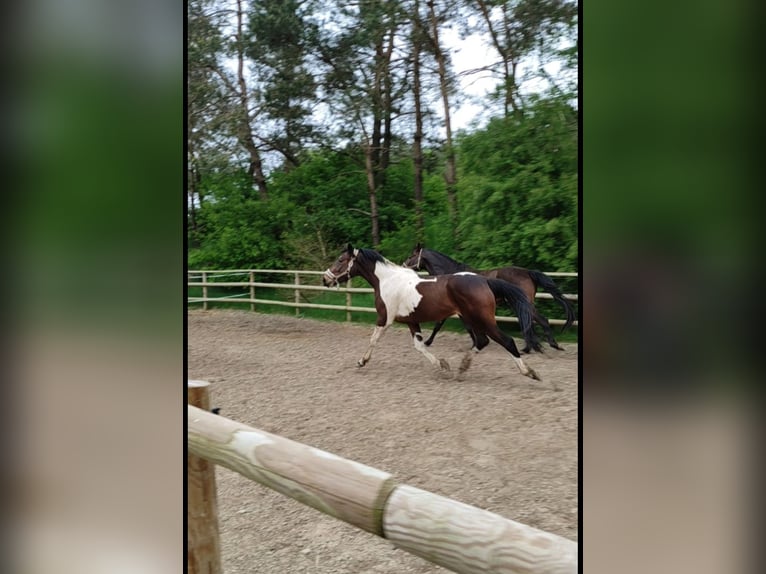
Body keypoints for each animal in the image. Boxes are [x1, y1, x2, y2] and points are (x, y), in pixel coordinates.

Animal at [320, 243, 544, 382]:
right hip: (472, 319)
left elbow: (374, 339)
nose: (325, 279)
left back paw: (531, 372)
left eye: (340, 260)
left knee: (507, 341)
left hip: (482, 319)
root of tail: (484, 280)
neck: (386, 281)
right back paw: (461, 369)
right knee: (482, 341)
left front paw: (362, 361)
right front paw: (443, 365)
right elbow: (420, 346)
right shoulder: (411, 321)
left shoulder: (385, 318)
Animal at [404, 244, 580, 354]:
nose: (403, 265)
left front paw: (427, 342)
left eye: (412, 255)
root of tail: (528, 272)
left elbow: (440, 325)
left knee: (541, 320)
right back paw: (532, 347)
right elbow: (465, 327)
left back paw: (549, 345)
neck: (450, 274)